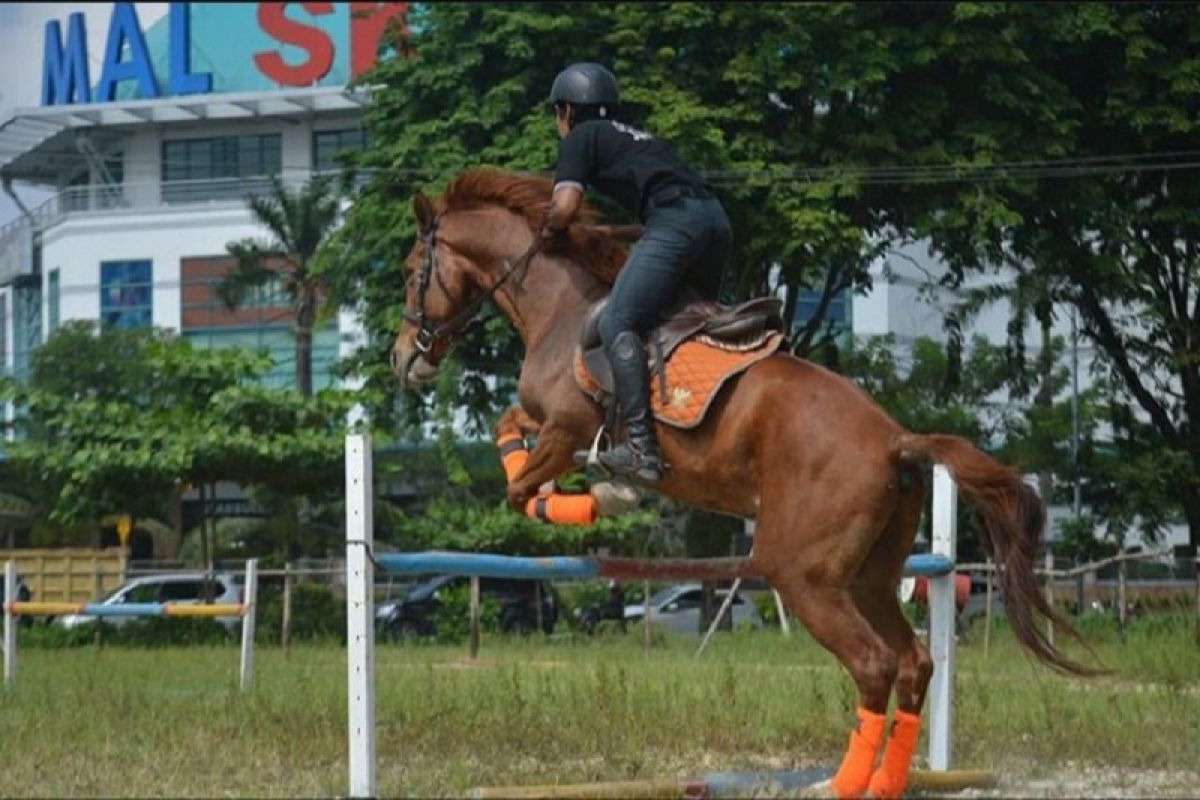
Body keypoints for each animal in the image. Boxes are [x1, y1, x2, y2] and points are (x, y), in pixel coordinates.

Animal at [388, 169, 1094, 800]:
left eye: (410, 268)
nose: (402, 358)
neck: (557, 306)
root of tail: (896, 439)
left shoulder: (566, 428)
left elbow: (519, 486)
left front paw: (604, 494)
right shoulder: (545, 423)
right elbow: (508, 424)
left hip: (800, 573)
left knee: (874, 664)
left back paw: (843, 784)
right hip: (865, 577)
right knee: (915, 662)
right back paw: (885, 783)